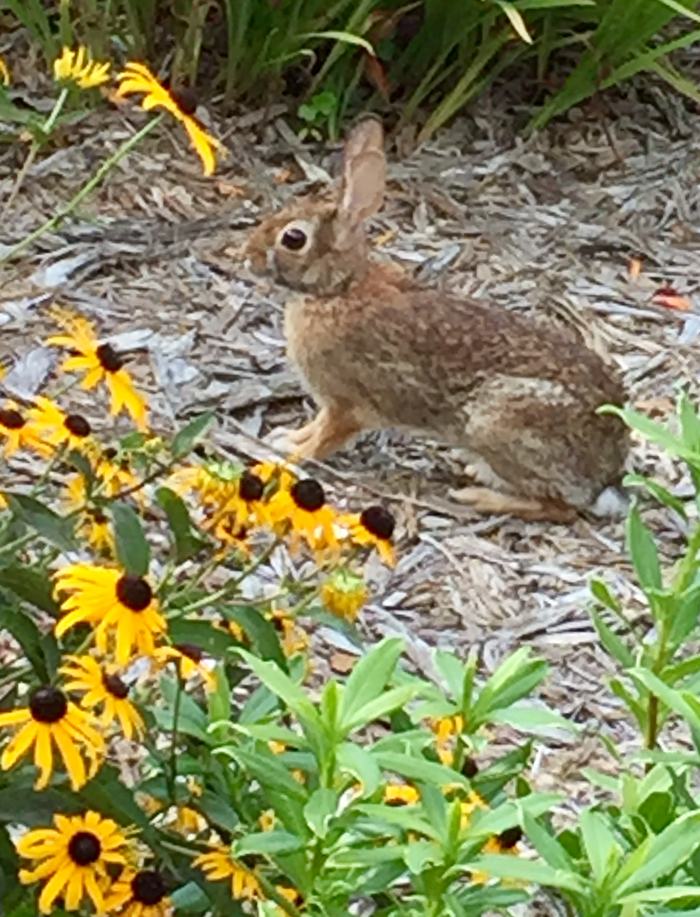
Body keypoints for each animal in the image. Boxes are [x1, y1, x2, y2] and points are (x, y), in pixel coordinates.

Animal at [245, 117, 629, 523]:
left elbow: (325, 437)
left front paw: (288, 453)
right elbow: (313, 427)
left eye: (293, 238)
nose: (246, 255)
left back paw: (479, 496)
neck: (338, 289)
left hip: (497, 424)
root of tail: (607, 475)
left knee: (559, 509)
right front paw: (284, 437)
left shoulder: (346, 404)